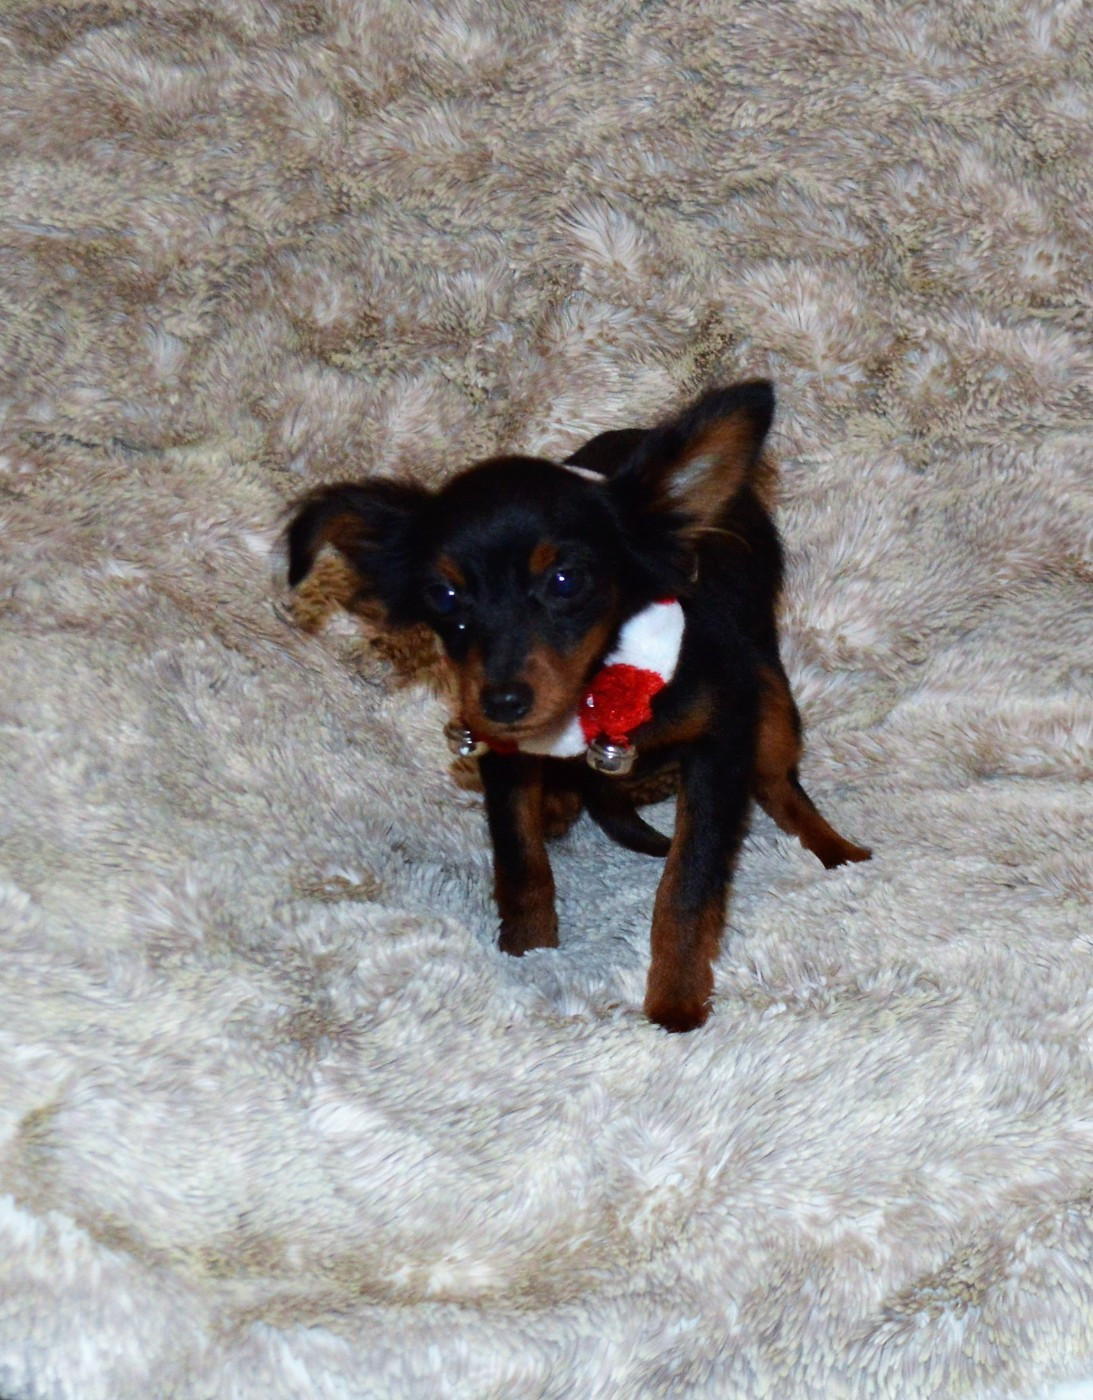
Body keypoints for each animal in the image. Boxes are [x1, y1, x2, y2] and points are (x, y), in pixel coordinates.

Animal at [286, 382, 870, 1032]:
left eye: (566, 581)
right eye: (444, 595)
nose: (503, 701)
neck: (595, 686)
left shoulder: (721, 746)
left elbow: (688, 885)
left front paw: (676, 1001)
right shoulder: (504, 751)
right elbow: (520, 862)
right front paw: (529, 953)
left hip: (770, 696)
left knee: (778, 783)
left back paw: (837, 851)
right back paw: (561, 802)